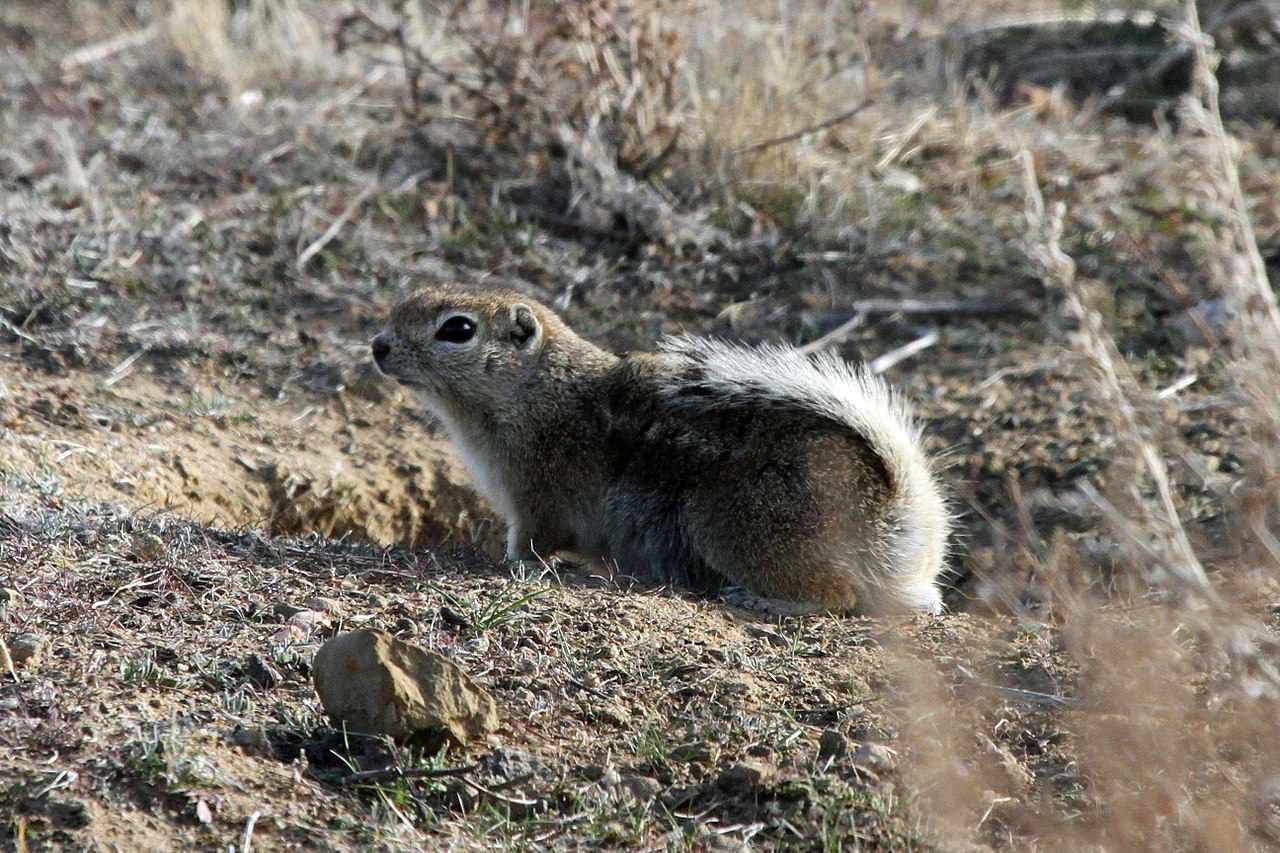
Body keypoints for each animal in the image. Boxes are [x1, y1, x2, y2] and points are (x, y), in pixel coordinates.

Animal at [371, 285, 952, 612]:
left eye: (457, 329)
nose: (377, 345)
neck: (536, 390)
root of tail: (898, 515)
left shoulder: (537, 496)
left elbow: (531, 543)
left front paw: (516, 565)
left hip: (733, 526)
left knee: (839, 598)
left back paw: (763, 600)